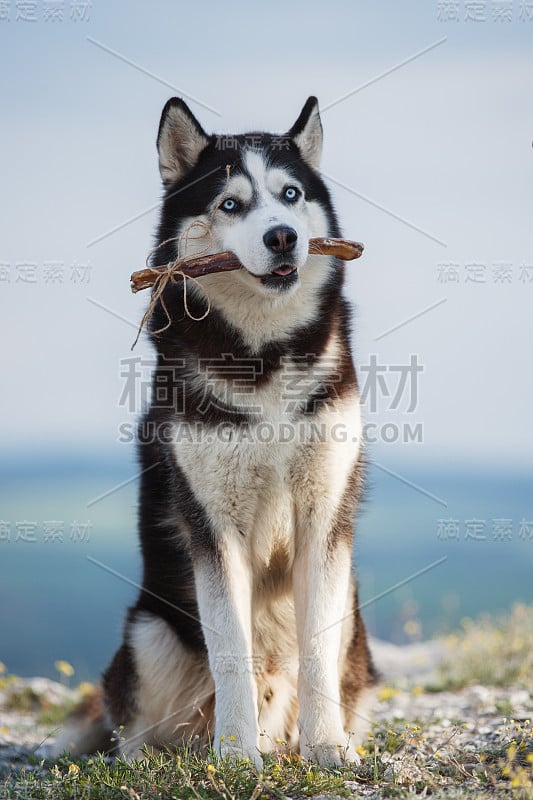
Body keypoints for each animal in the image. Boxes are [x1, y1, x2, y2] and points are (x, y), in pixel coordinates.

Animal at [59, 98, 374, 768]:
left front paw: (327, 748)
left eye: (289, 194)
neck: (263, 356)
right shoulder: (212, 522)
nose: (283, 236)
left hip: (355, 622)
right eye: (230, 204)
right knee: (131, 727)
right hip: (148, 633)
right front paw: (235, 757)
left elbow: (315, 650)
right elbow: (231, 647)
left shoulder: (323, 511)